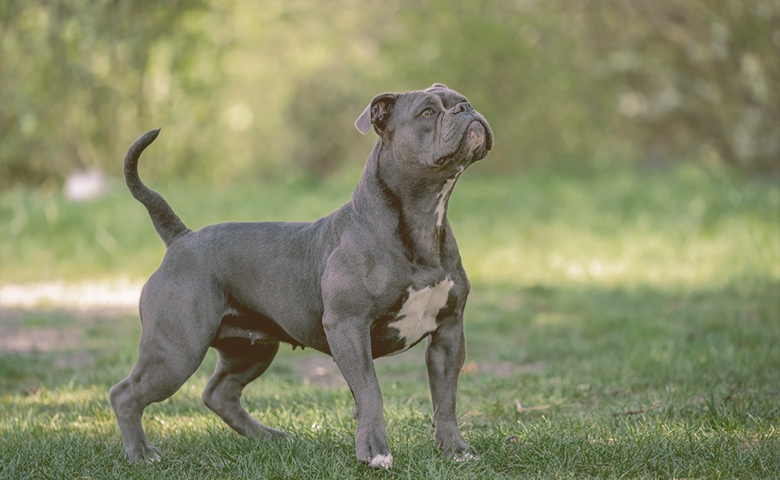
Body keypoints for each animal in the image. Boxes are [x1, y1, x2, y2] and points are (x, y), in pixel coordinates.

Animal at [108, 83, 494, 468]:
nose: (467, 109)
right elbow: (370, 391)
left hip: (249, 350)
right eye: (426, 113)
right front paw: (375, 452)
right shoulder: (348, 327)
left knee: (219, 392)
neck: (425, 220)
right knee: (125, 394)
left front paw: (455, 449)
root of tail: (181, 238)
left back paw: (267, 437)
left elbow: (446, 397)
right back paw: (140, 452)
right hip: (176, 351)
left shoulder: (448, 332)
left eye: (463, 100)